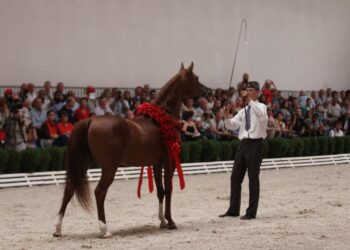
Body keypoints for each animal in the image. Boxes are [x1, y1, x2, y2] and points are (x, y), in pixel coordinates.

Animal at [54, 63, 208, 238]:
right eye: (196, 78)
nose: (207, 91)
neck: (162, 117)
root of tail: (91, 120)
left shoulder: (156, 164)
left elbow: (160, 191)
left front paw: (162, 221)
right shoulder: (169, 163)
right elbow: (169, 189)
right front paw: (170, 222)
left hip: (83, 164)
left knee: (69, 190)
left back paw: (58, 229)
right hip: (109, 168)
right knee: (99, 192)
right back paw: (105, 230)